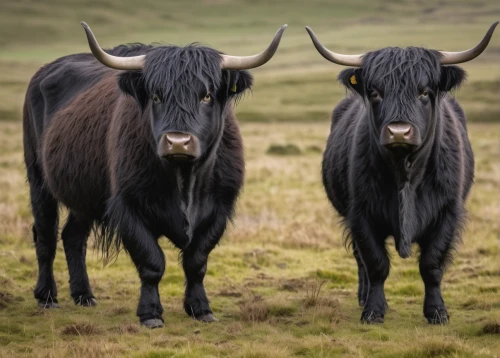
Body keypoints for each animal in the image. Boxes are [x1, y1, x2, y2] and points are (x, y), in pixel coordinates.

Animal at [23, 22, 288, 328]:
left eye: (207, 95)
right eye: (156, 96)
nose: (178, 142)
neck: (184, 180)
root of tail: (44, 72)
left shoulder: (219, 209)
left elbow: (197, 262)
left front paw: (202, 309)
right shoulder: (128, 207)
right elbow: (151, 262)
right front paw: (150, 314)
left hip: (85, 194)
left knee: (73, 237)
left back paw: (84, 296)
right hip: (38, 180)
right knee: (45, 235)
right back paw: (47, 297)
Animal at [306, 22, 498, 324]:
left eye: (424, 92)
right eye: (375, 92)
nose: (399, 131)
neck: (404, 172)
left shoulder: (447, 212)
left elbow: (432, 264)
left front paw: (437, 313)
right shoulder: (360, 214)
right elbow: (376, 263)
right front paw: (373, 311)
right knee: (360, 260)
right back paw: (363, 297)